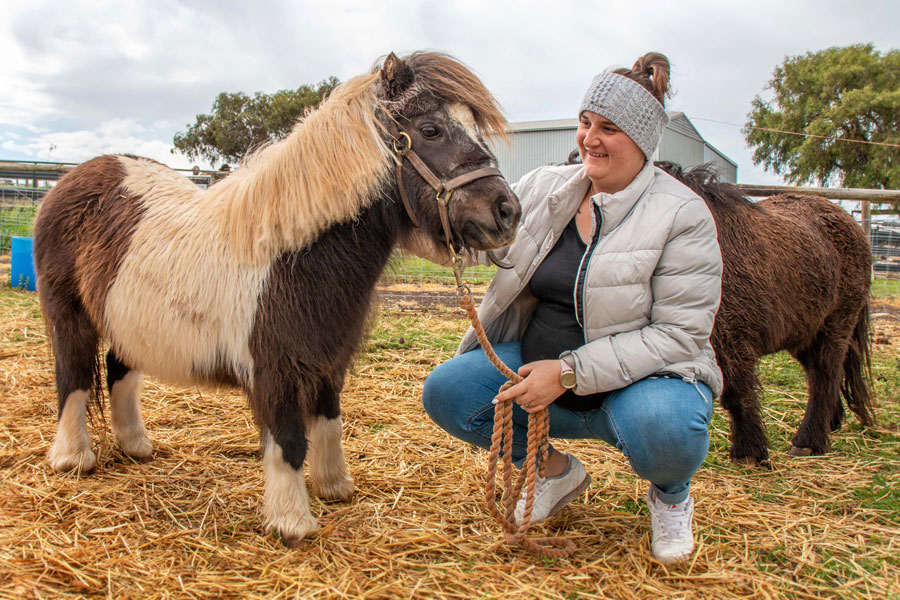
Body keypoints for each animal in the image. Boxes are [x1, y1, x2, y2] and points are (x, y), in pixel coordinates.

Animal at [33, 54, 520, 548]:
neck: (293, 257)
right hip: (68, 316)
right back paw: (73, 458)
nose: (507, 212)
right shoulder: (276, 370)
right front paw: (292, 522)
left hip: (130, 322)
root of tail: (73, 179)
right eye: (430, 130)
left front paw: (334, 487)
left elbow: (328, 422)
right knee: (72, 375)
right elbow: (288, 440)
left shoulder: (327, 362)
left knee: (118, 368)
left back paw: (135, 445)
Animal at [656, 162, 876, 466]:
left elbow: (738, 395)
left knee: (825, 376)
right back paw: (830, 423)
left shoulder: (732, 340)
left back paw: (809, 442)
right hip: (805, 333)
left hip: (835, 326)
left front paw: (749, 452)